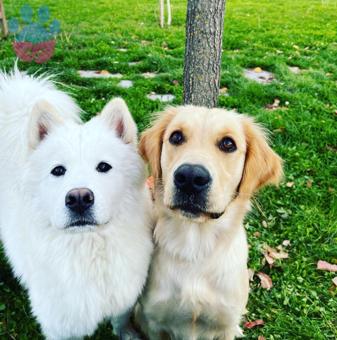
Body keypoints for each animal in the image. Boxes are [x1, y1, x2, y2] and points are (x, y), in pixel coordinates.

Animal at [0, 70, 152, 338]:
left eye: (104, 166)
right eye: (58, 170)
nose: (79, 198)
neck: (88, 246)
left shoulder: (124, 291)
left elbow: (121, 318)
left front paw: (126, 333)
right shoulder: (60, 321)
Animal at [135, 105, 282, 338]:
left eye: (228, 143)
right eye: (176, 137)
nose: (190, 177)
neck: (195, 247)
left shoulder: (224, 325)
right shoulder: (154, 322)